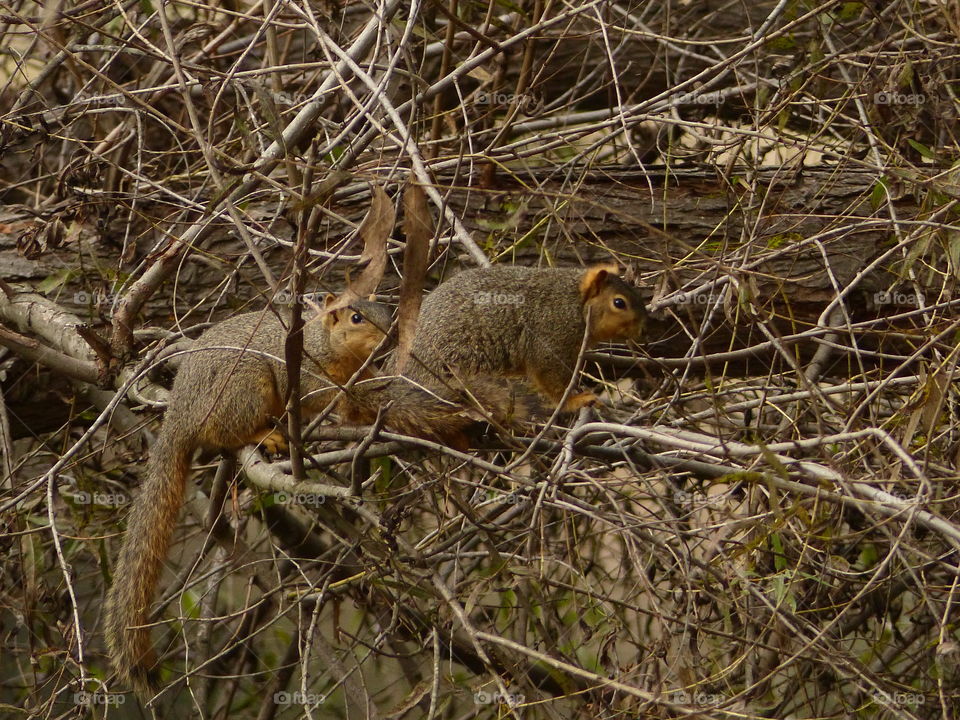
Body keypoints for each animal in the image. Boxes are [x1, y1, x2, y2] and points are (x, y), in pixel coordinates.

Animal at [105, 294, 390, 696]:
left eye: (387, 311)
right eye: (356, 318)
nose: (389, 336)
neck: (325, 345)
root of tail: (181, 415)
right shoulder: (302, 372)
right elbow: (320, 394)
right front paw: (354, 402)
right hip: (244, 385)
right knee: (224, 432)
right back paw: (264, 435)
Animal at [342, 262, 648, 448]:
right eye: (619, 303)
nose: (644, 327)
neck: (574, 301)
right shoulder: (549, 335)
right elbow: (550, 378)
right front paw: (575, 400)